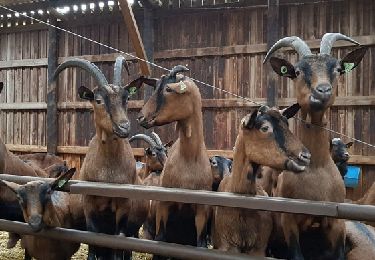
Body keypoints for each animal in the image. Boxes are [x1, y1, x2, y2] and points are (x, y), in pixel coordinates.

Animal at [53, 57, 140, 260]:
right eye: (99, 100)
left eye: (127, 98)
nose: (123, 127)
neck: (108, 173)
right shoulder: (89, 203)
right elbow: (93, 239)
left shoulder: (124, 205)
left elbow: (119, 240)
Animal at [137, 65, 214, 250]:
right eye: (156, 86)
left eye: (168, 89)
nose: (141, 117)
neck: (189, 158)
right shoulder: (164, 206)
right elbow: (161, 238)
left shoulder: (202, 211)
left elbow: (201, 244)